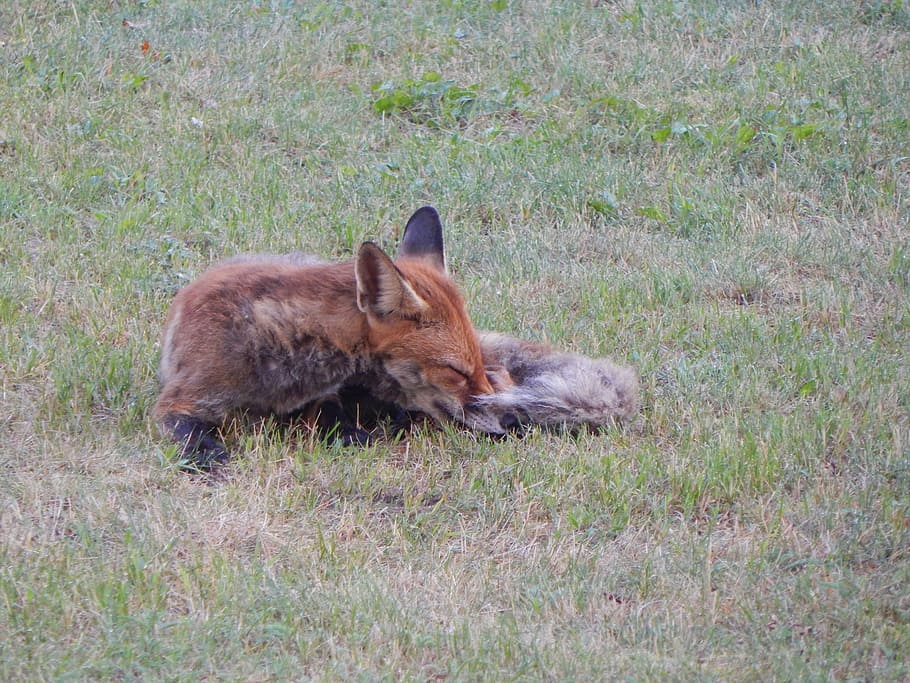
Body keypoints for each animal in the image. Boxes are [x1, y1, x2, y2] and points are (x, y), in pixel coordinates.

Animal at [152, 206, 503, 468]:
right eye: (455, 371)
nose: (507, 423)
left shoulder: (325, 395)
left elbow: (329, 413)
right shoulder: (182, 399)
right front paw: (208, 457)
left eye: (478, 364)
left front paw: (350, 433)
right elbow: (190, 436)